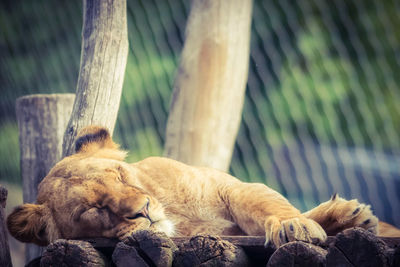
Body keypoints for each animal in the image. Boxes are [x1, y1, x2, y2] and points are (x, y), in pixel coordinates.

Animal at [7, 126, 400, 248]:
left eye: (119, 174)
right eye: (94, 209)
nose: (143, 211)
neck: (177, 217)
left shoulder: (234, 187)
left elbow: (269, 206)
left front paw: (300, 225)